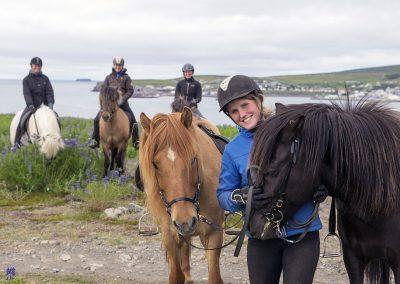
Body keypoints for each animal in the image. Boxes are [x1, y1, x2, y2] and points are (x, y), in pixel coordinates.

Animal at [139, 107, 223, 282]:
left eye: (193, 159)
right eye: (155, 164)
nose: (185, 221)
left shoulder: (214, 234)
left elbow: (214, 276)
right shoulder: (170, 234)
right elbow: (176, 275)